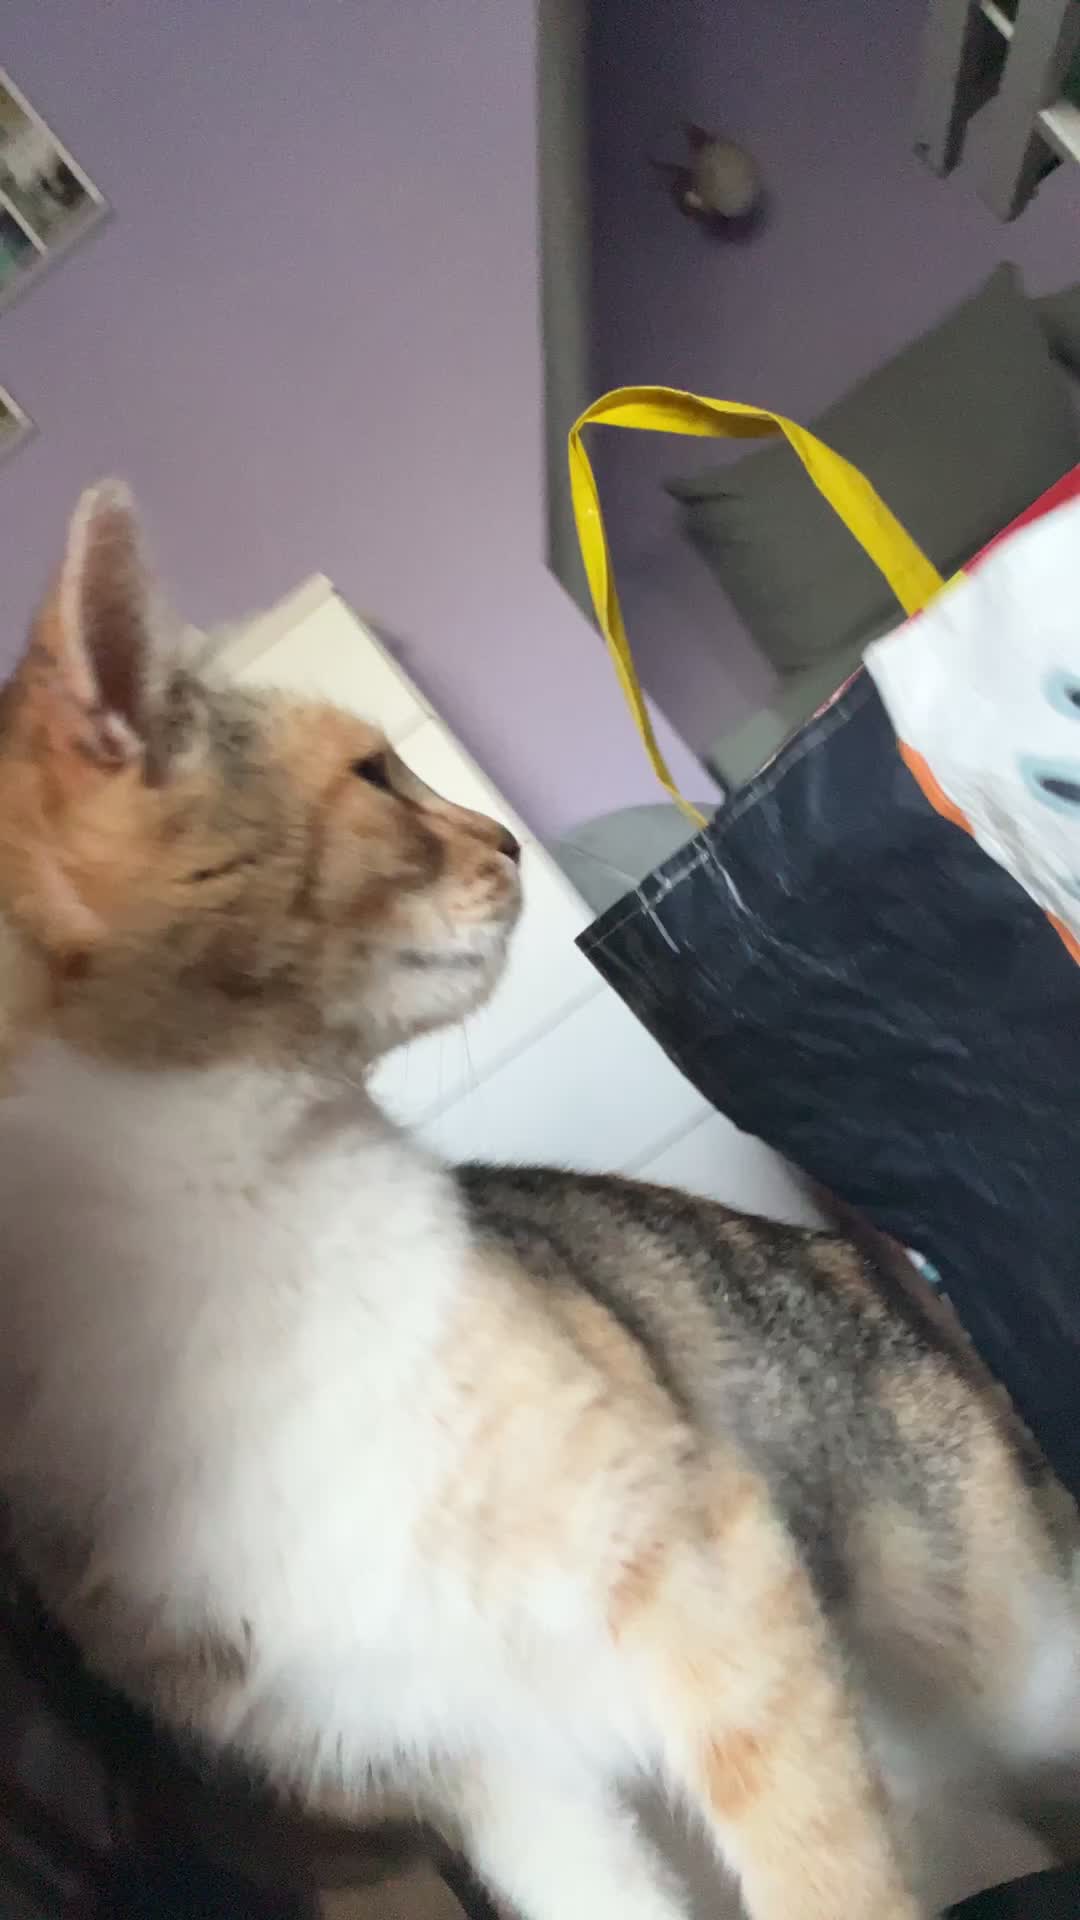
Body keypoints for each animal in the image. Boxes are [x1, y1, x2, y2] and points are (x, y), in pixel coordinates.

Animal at [0, 483, 1077, 1920]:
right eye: (374, 775)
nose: (504, 836)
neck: (220, 1262)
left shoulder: (706, 1567)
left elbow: (821, 1868)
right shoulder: (482, 1774)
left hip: (1009, 1662)